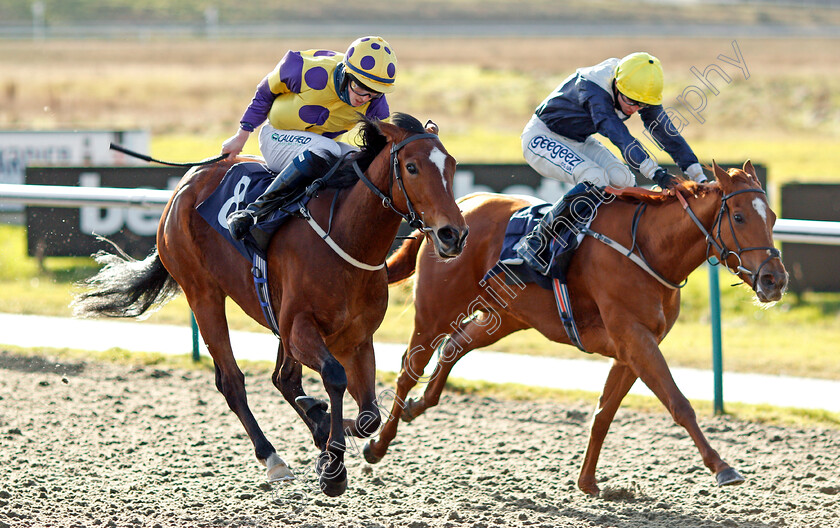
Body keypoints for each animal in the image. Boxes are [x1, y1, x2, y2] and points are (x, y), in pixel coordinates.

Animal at [73, 113, 470, 498]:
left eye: (451, 165)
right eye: (412, 167)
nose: (454, 234)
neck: (347, 237)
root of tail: (186, 183)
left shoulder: (355, 338)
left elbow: (369, 414)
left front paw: (326, 435)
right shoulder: (299, 328)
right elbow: (334, 377)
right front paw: (333, 467)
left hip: (272, 315)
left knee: (284, 379)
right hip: (203, 294)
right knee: (232, 381)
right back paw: (273, 457)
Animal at [366, 161, 788, 496]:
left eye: (772, 217)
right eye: (739, 217)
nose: (775, 280)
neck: (648, 247)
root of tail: (456, 211)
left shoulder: (632, 347)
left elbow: (604, 413)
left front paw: (587, 481)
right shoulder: (635, 338)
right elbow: (679, 403)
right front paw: (722, 467)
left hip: (504, 318)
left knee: (456, 345)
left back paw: (418, 406)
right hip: (434, 312)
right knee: (408, 369)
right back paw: (377, 444)